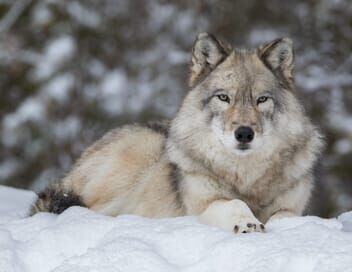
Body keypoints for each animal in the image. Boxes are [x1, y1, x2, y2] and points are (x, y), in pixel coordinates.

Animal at [31, 32, 324, 234]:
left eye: (261, 100)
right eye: (224, 98)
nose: (243, 133)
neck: (246, 178)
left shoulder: (291, 207)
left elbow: (287, 216)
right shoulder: (205, 203)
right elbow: (234, 204)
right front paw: (247, 223)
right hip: (140, 153)